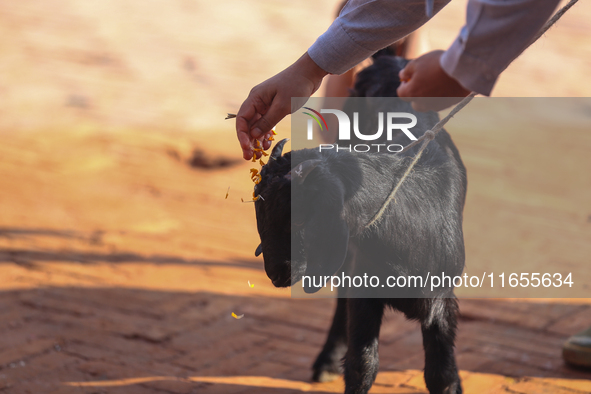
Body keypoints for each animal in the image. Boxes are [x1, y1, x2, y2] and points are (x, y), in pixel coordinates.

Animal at [253, 55, 468, 394]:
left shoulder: (441, 299)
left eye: (297, 218)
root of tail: (392, 62)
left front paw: (454, 381)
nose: (276, 274)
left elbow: (440, 375)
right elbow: (362, 364)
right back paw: (326, 361)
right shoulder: (364, 288)